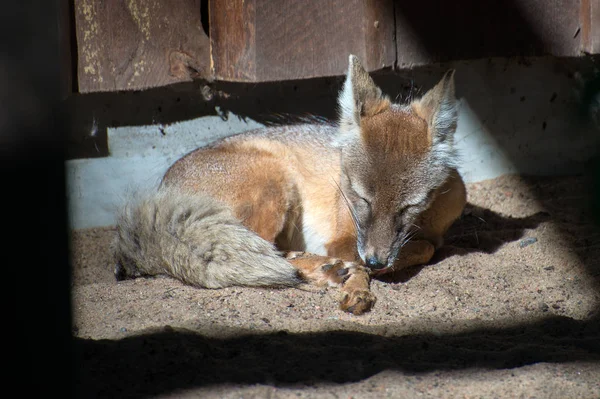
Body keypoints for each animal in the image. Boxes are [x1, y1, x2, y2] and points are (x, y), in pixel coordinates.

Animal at [113, 54, 468, 316]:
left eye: (409, 206)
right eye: (359, 198)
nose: (375, 262)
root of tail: (160, 194)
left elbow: (427, 246)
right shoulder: (344, 239)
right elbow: (415, 250)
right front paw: (360, 282)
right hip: (274, 186)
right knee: (262, 252)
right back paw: (322, 269)